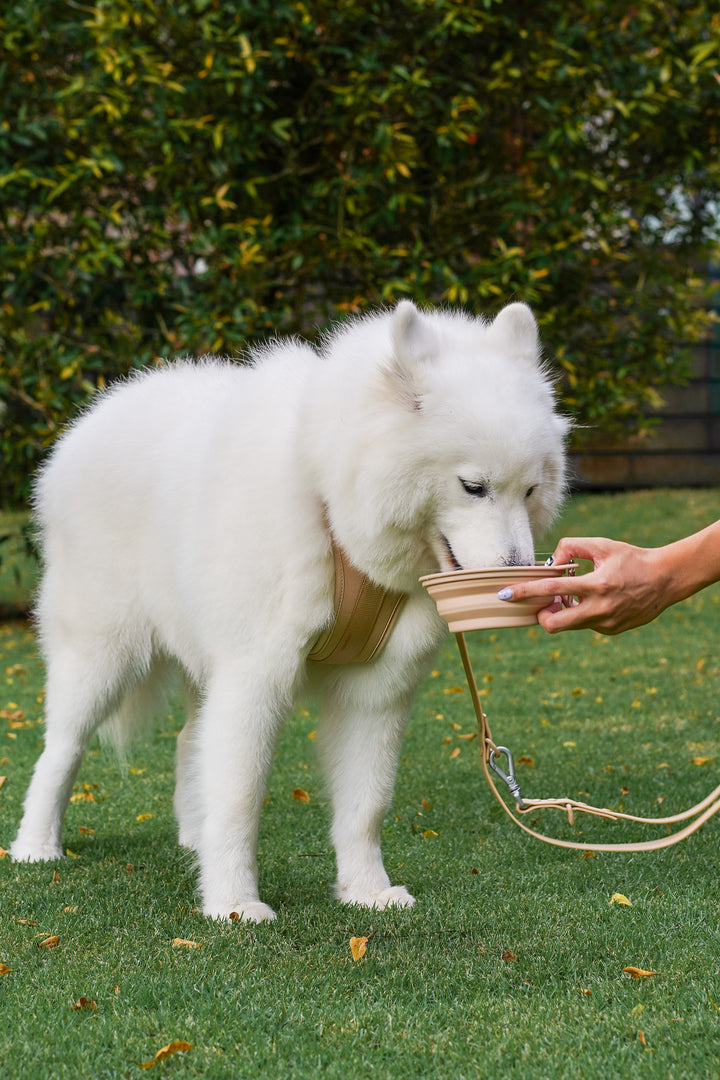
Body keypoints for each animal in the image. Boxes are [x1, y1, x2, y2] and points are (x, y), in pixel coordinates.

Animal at [11, 298, 569, 920]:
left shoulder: (376, 691)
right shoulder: (255, 675)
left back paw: (193, 840)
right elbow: (239, 798)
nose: (517, 574)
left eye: (529, 490)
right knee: (59, 751)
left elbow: (365, 805)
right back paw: (36, 846)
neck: (331, 507)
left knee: (187, 744)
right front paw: (233, 905)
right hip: (102, 655)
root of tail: (94, 416)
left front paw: (366, 891)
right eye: (473, 487)